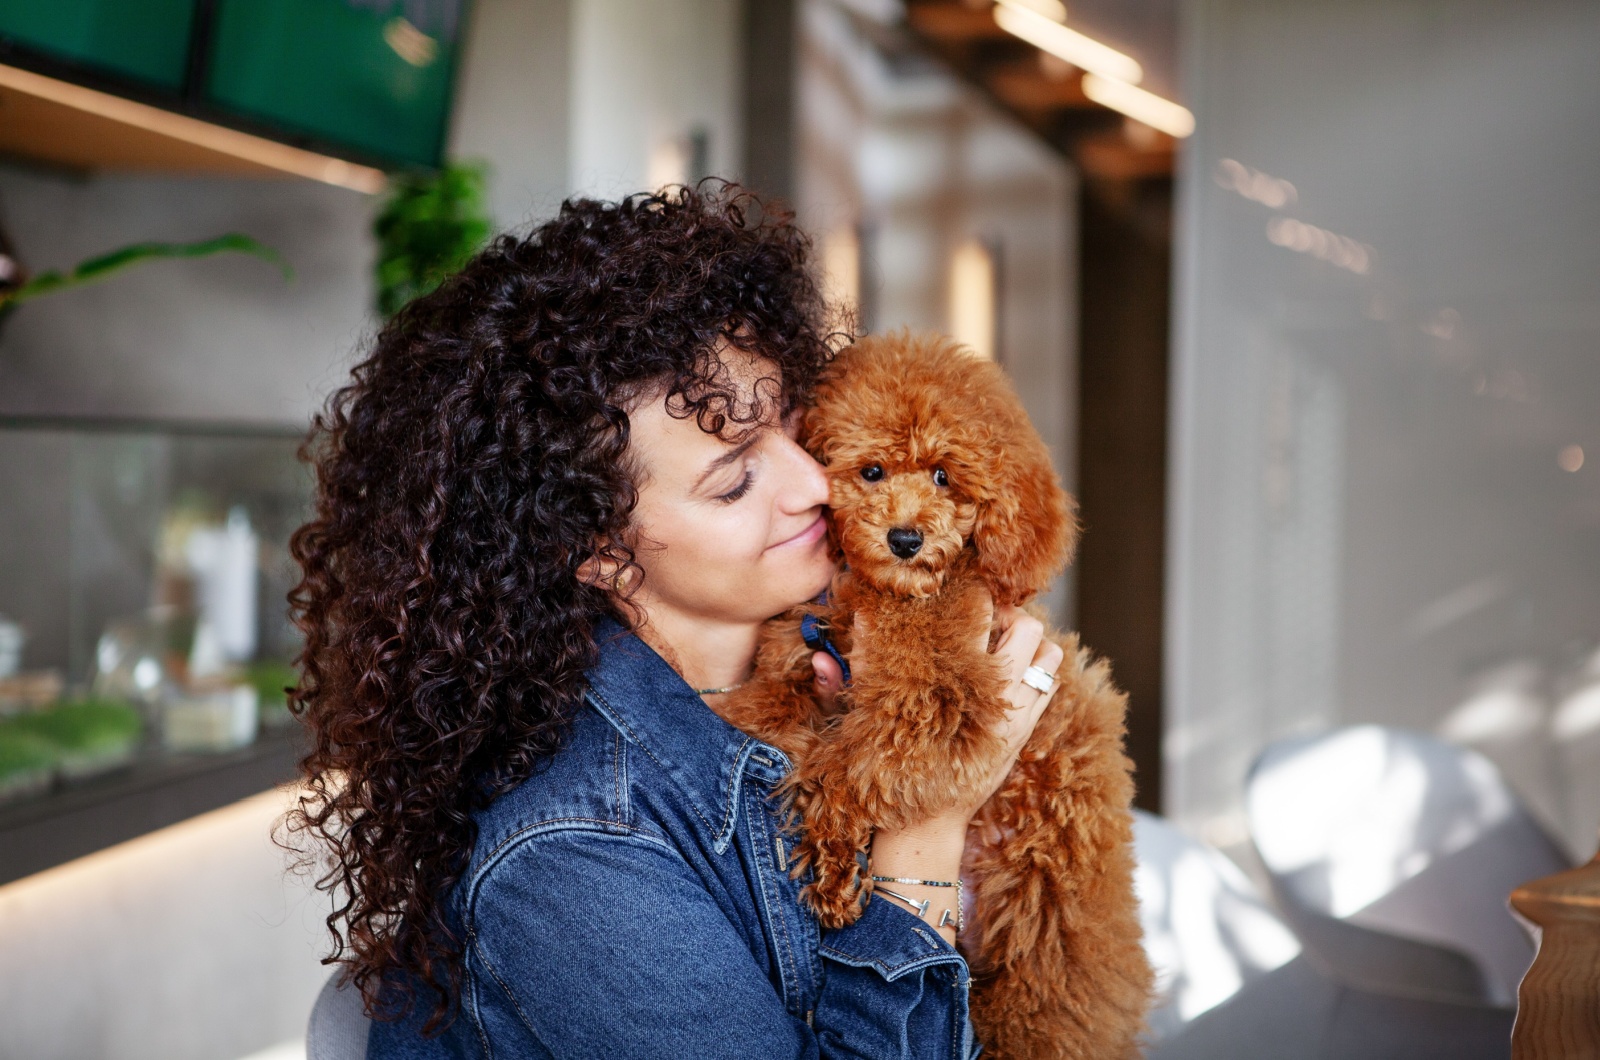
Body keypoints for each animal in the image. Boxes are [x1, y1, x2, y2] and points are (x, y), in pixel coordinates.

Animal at [723, 334, 1152, 1060]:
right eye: (871, 472)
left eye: (945, 477)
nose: (905, 539)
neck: (889, 594)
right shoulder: (798, 663)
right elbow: (770, 716)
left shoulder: (937, 700)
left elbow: (842, 770)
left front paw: (832, 867)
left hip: (1039, 946)